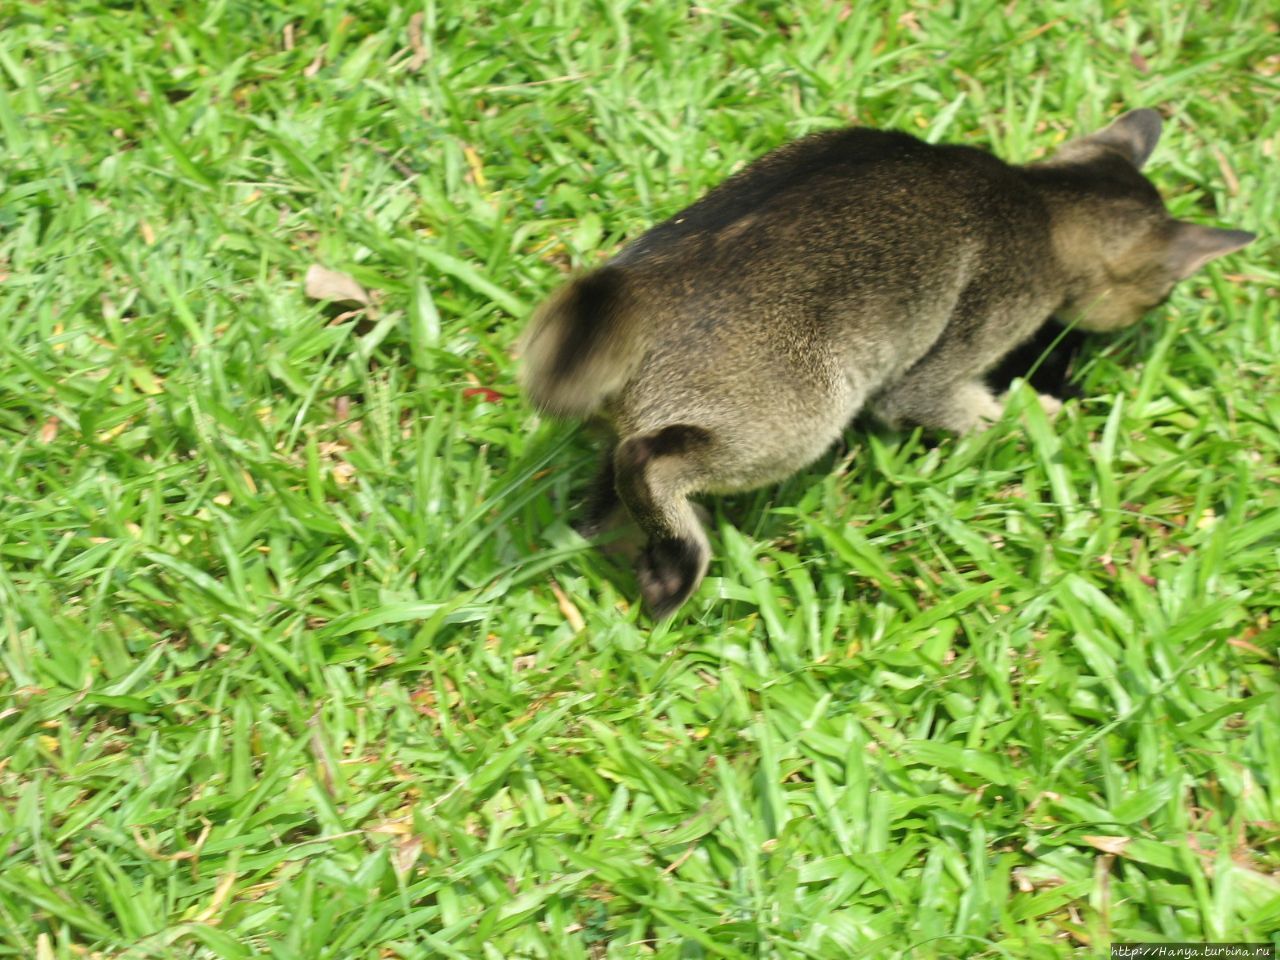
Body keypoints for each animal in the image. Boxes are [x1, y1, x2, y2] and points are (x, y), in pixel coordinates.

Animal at [517, 108, 1249, 619]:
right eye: (1163, 291)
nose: (1161, 307)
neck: (1039, 198)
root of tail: (639, 288)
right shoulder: (969, 332)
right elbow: (950, 404)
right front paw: (1039, 417)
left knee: (610, 475)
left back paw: (620, 541)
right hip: (802, 411)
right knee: (647, 460)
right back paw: (676, 563)